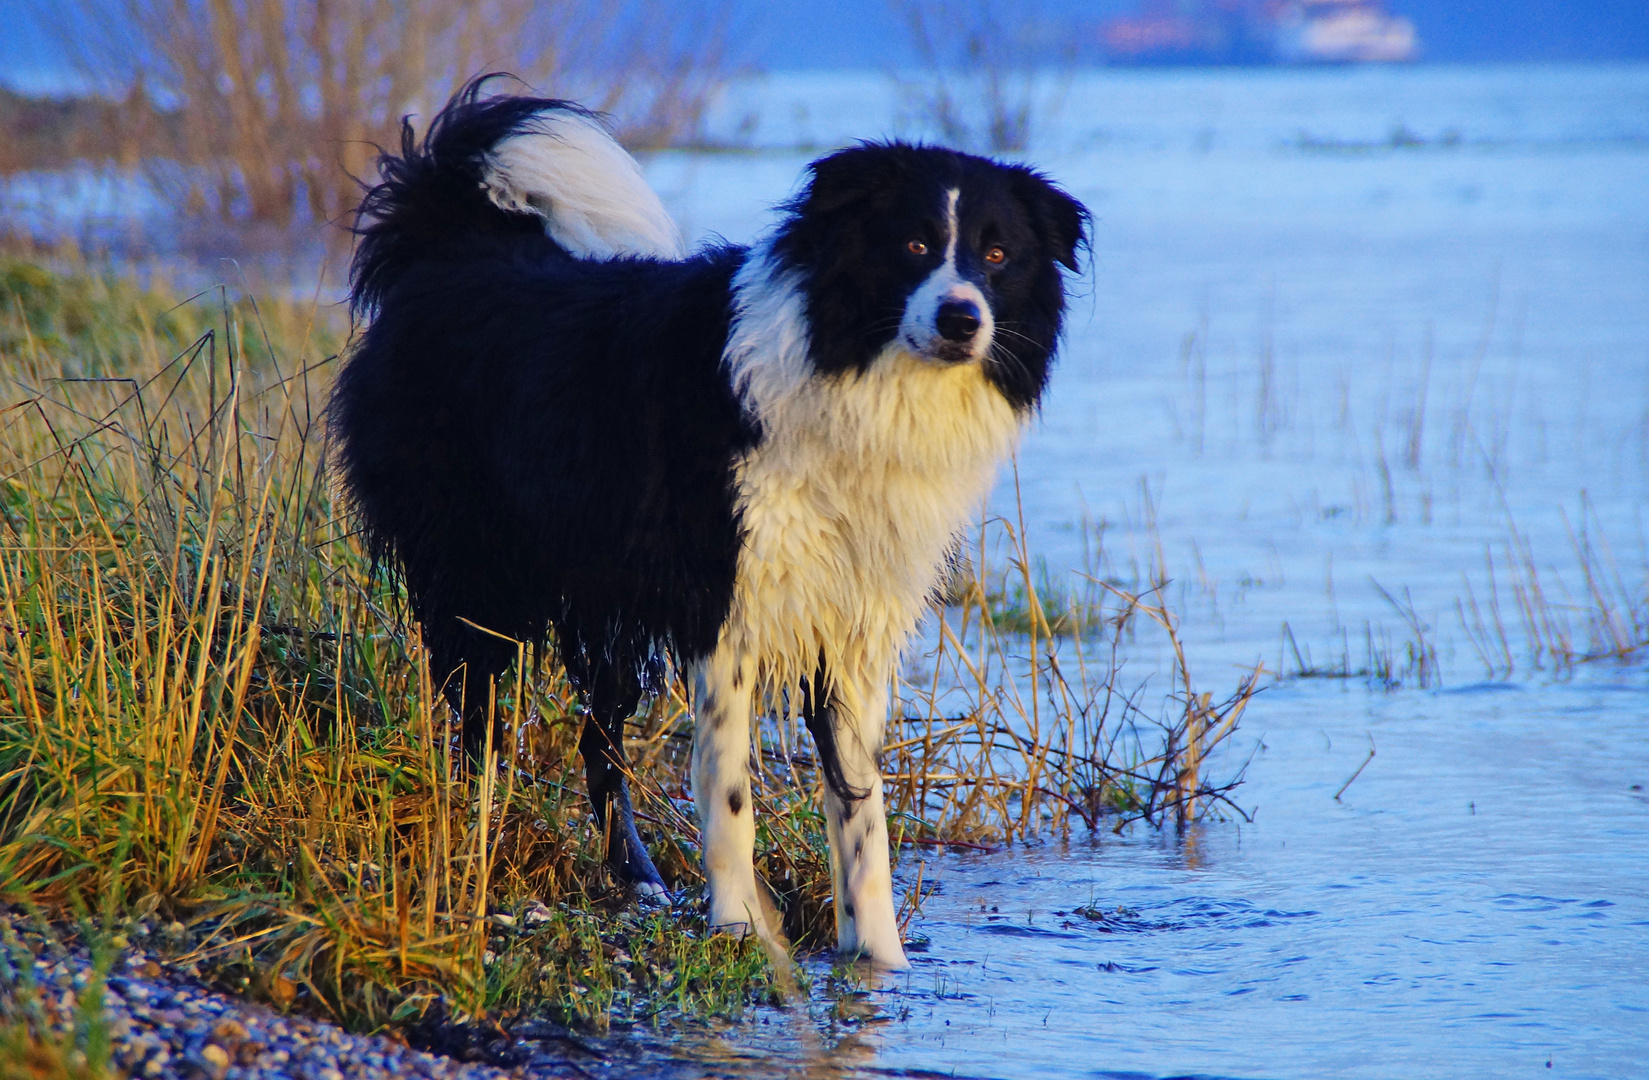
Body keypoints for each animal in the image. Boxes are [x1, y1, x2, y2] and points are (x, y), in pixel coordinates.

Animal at [329, 80, 1088, 969]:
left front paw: (877, 960)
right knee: (478, 724)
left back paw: (637, 880)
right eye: (913, 244)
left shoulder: (854, 625)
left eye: (997, 257)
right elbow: (727, 792)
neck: (849, 373)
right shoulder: (724, 604)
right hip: (476, 575)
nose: (962, 318)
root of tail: (449, 246)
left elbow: (859, 809)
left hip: (606, 606)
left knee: (599, 745)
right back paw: (476, 844)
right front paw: (736, 928)